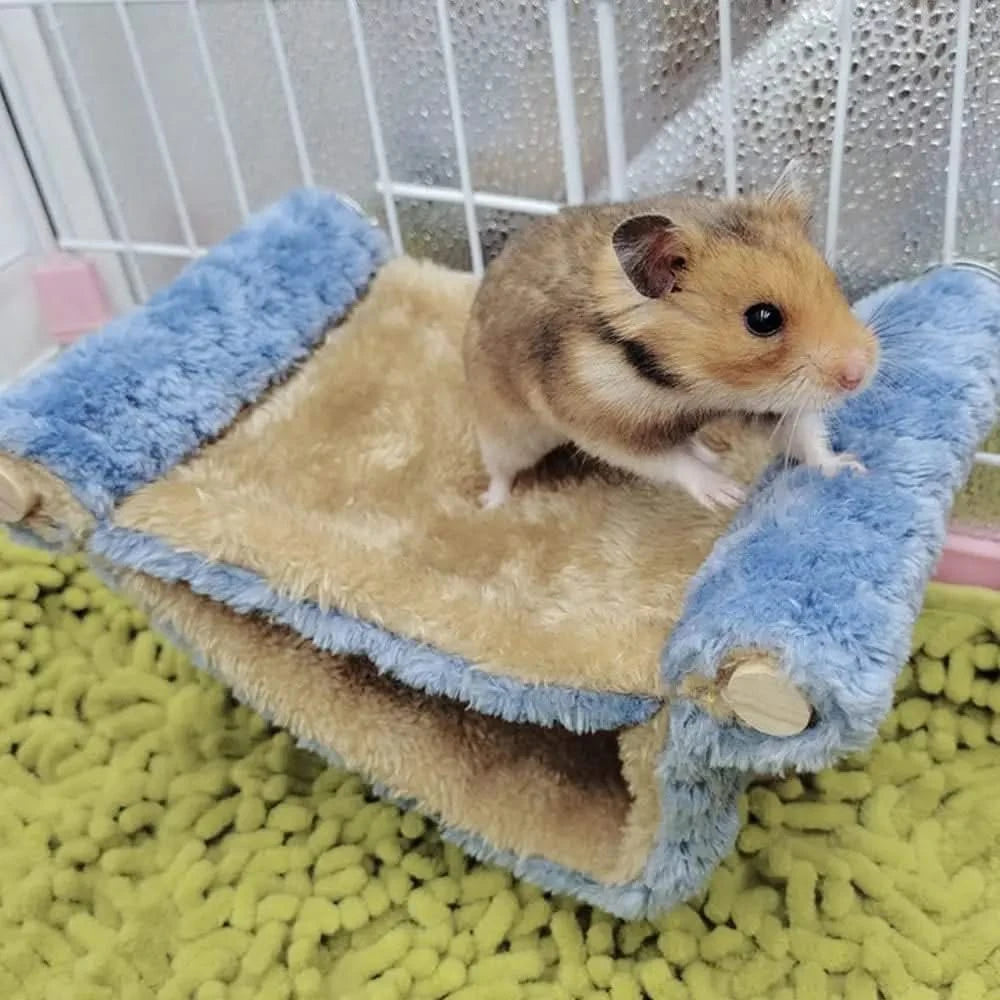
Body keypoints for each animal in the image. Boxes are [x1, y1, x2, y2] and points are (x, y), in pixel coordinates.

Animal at [463, 164, 880, 509]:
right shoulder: (604, 427)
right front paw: (729, 494)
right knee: (501, 470)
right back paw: (490, 506)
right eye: (763, 319)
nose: (860, 375)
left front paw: (850, 468)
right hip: (504, 432)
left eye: (832, 282)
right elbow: (669, 461)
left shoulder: (771, 401)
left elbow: (805, 436)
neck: (695, 388)